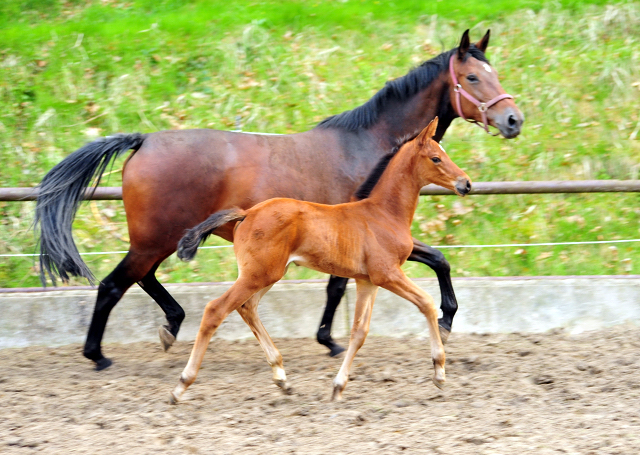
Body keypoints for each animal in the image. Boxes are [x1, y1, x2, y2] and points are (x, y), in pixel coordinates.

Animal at [35, 29, 524, 370]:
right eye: (473, 77)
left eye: (495, 74)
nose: (513, 120)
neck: (369, 145)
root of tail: (143, 141)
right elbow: (374, 276)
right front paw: (437, 320)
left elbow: (417, 264)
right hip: (154, 239)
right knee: (114, 284)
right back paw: (98, 354)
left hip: (161, 239)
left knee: (143, 280)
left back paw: (170, 326)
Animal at [170, 119, 470, 404]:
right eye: (436, 158)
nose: (465, 184)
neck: (383, 213)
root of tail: (246, 213)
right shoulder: (387, 274)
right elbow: (426, 303)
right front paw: (439, 371)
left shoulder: (367, 281)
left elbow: (359, 332)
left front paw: (338, 387)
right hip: (257, 274)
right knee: (216, 309)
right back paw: (182, 385)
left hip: (267, 274)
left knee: (247, 307)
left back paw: (281, 377)